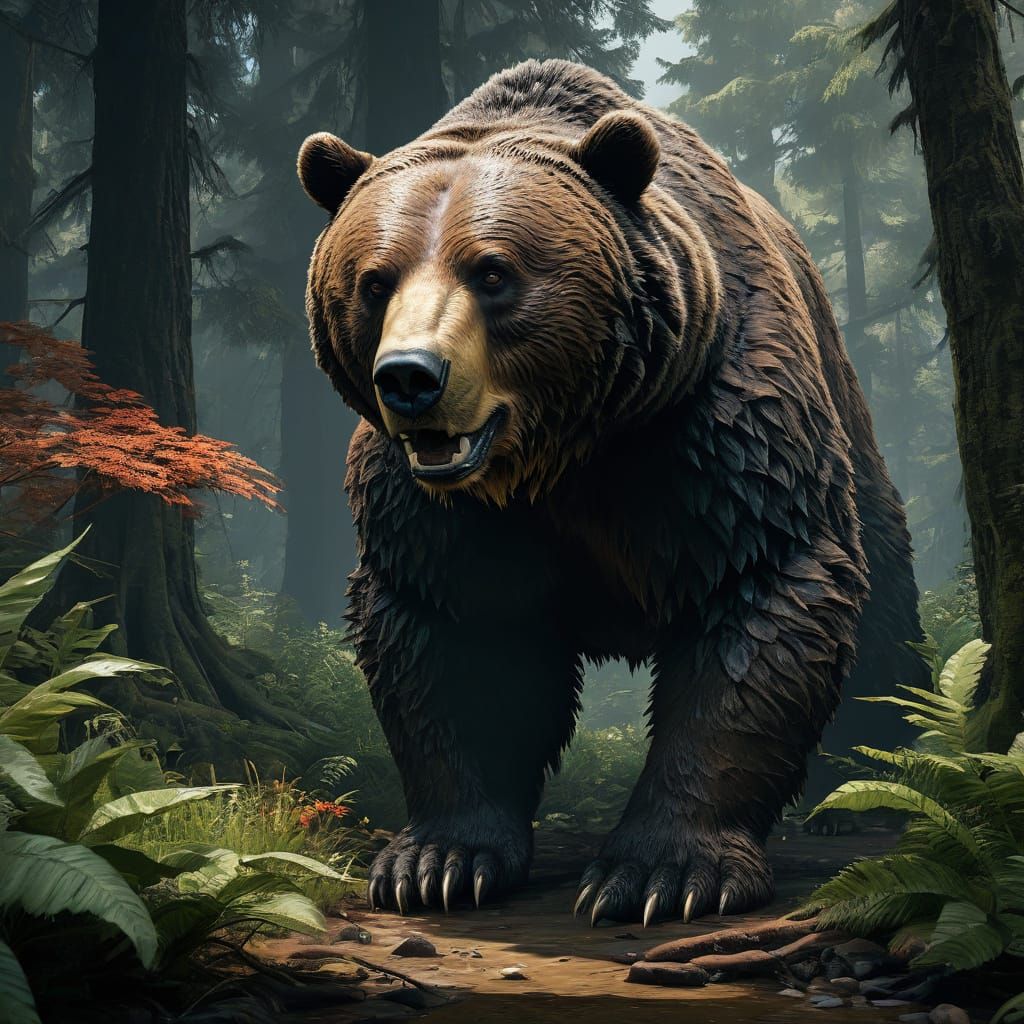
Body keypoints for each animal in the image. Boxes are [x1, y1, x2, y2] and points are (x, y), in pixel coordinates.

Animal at [296, 59, 925, 925]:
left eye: (492, 271)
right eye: (373, 280)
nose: (411, 379)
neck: (563, 453)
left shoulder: (710, 438)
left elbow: (758, 597)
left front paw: (662, 873)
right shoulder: (439, 512)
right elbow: (452, 635)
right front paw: (437, 862)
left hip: (845, 424)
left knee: (884, 606)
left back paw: (867, 790)